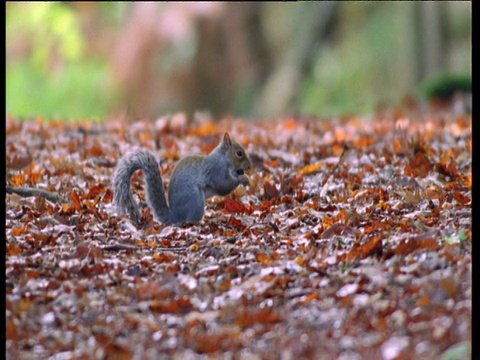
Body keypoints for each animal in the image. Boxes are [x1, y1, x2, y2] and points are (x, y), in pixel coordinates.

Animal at [110, 132, 249, 224]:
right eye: (239, 153)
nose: (249, 165)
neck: (223, 159)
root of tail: (174, 217)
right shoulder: (216, 171)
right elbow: (223, 186)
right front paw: (243, 179)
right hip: (195, 199)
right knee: (188, 221)